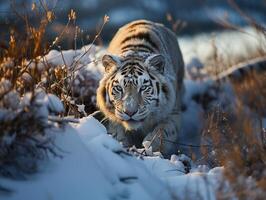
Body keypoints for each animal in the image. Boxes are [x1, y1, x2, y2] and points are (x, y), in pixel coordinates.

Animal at [96, 19, 185, 156]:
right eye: (119, 88)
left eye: (143, 88)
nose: (130, 112)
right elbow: (116, 130)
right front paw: (119, 142)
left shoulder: (173, 112)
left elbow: (164, 130)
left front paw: (150, 145)